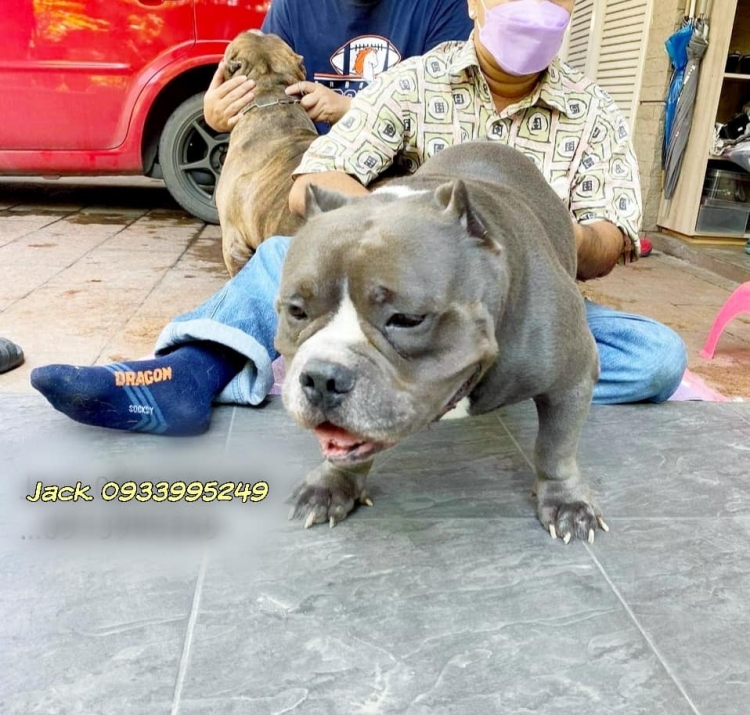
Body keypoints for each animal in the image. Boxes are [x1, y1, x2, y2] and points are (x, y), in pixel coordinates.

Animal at [275, 141, 606, 544]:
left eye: (407, 320)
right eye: (296, 310)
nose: (323, 377)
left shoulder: (573, 376)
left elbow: (555, 446)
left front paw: (566, 503)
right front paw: (331, 485)